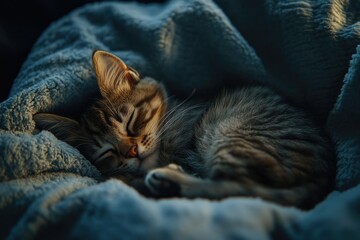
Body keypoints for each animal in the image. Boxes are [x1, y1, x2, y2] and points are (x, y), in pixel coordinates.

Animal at [33, 50, 334, 208]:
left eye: (131, 121)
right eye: (106, 152)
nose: (132, 152)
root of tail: (324, 177)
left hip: (230, 133)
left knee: (240, 190)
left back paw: (169, 179)